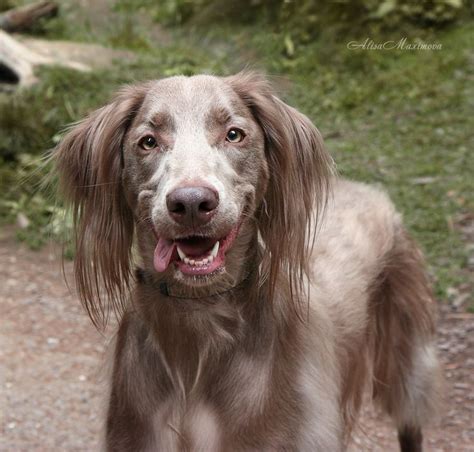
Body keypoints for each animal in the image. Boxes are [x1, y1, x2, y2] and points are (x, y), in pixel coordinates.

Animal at [54, 72, 440, 450]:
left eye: (234, 134)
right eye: (148, 141)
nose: (191, 203)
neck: (200, 322)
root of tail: (369, 190)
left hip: (406, 367)